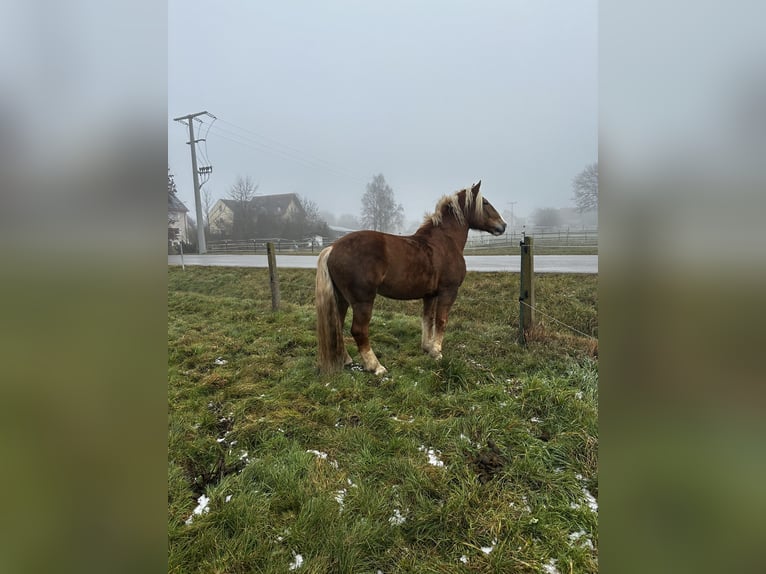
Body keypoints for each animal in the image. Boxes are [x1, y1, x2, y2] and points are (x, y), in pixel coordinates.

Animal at [316, 181, 508, 378]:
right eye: (484, 202)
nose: (503, 225)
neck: (445, 241)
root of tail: (332, 248)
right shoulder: (448, 291)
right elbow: (441, 320)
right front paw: (437, 352)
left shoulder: (430, 295)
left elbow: (428, 319)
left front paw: (427, 348)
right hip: (363, 301)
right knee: (358, 330)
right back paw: (376, 366)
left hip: (342, 299)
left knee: (337, 325)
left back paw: (346, 359)